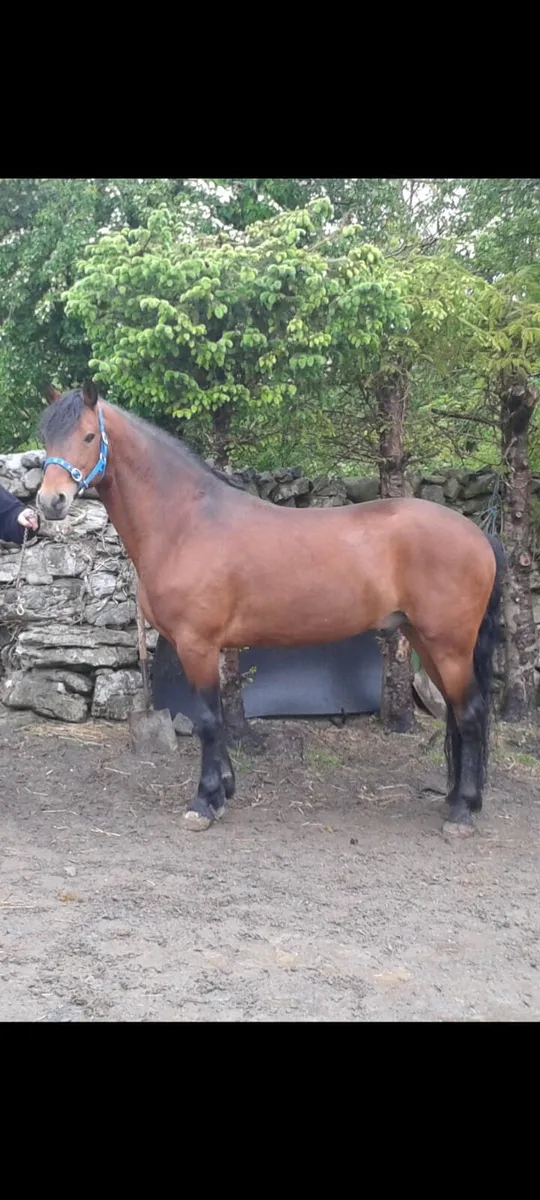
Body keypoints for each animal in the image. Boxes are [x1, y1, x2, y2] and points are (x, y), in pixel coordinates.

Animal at [38, 381, 505, 836]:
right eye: (46, 438)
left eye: (88, 436)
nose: (50, 502)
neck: (186, 524)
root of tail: (478, 535)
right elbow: (218, 717)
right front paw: (224, 791)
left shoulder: (196, 645)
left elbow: (207, 720)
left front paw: (204, 803)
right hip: (425, 641)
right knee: (457, 713)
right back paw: (457, 799)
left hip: (449, 645)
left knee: (470, 714)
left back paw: (462, 812)